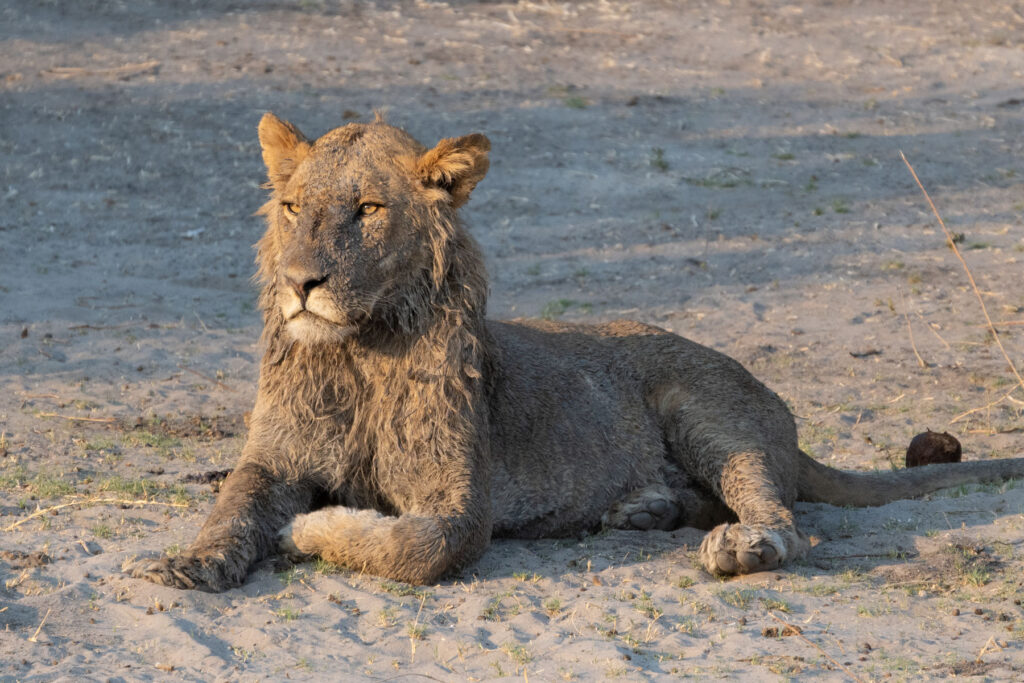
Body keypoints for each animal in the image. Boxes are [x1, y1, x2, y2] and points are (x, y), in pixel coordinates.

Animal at [126, 113, 1024, 591]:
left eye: (369, 209)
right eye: (290, 206)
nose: (300, 282)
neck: (359, 354)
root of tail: (786, 420)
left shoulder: (464, 502)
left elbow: (414, 545)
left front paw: (312, 527)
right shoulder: (273, 454)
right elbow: (232, 504)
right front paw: (193, 560)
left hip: (705, 405)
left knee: (782, 516)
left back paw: (737, 542)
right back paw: (643, 508)